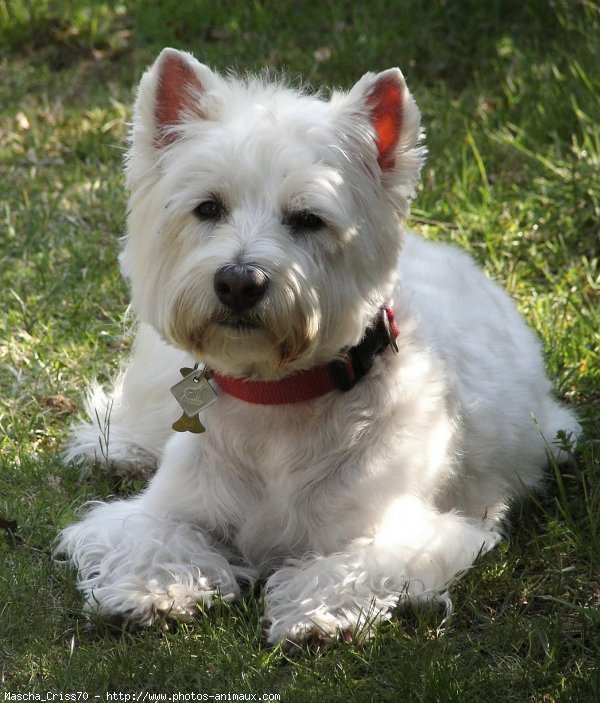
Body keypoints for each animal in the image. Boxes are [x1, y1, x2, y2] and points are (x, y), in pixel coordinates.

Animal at [57, 46, 580, 648]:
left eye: (308, 219)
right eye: (208, 207)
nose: (238, 282)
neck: (275, 400)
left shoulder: (408, 529)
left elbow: (351, 564)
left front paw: (314, 615)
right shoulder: (168, 509)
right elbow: (151, 535)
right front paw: (150, 592)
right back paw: (117, 450)